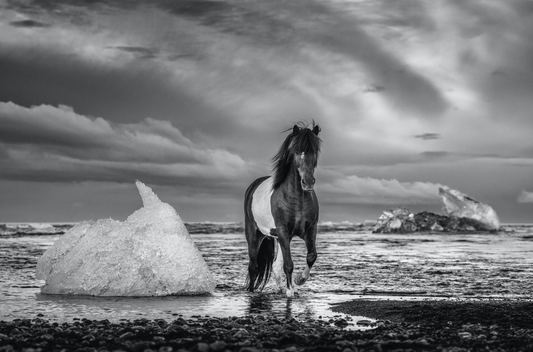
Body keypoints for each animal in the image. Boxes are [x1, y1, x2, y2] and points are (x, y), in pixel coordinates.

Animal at [244, 122, 320, 298]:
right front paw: (290, 291)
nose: (308, 182)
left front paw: (299, 280)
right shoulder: (284, 231)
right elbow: (289, 264)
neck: (297, 199)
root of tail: (252, 186)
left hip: (278, 237)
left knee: (275, 267)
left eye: (315, 151)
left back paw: (283, 287)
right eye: (297, 151)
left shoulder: (310, 229)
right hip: (254, 235)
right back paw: (251, 291)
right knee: (254, 267)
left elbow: (311, 256)